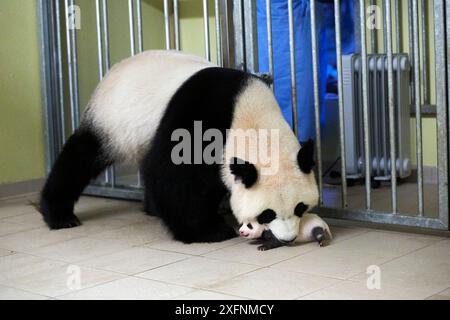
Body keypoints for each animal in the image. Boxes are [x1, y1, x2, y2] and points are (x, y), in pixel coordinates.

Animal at [39, 50, 320, 245]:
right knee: (81, 156)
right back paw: (60, 216)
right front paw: (210, 231)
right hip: (111, 119)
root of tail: (115, 68)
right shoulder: (200, 118)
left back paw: (151, 210)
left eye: (300, 207)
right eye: (267, 214)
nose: (287, 239)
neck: (250, 116)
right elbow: (175, 175)